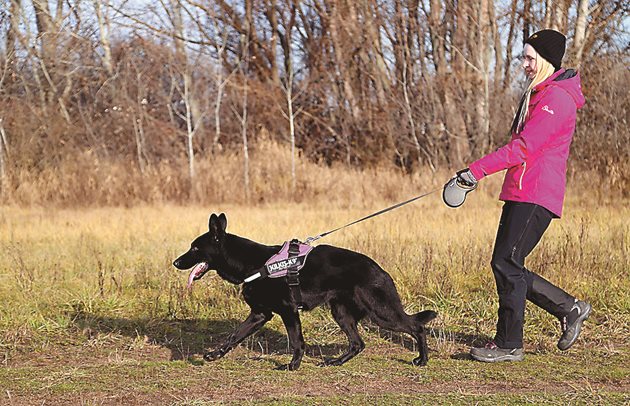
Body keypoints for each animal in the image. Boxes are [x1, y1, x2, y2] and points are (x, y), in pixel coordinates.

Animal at [174, 214, 440, 370]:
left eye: (194, 248)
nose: (175, 262)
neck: (254, 263)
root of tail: (379, 269)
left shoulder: (288, 311)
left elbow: (296, 341)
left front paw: (292, 366)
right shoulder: (260, 314)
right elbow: (233, 335)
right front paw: (214, 354)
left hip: (381, 313)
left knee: (416, 327)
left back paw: (422, 360)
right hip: (341, 313)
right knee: (358, 343)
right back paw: (335, 362)